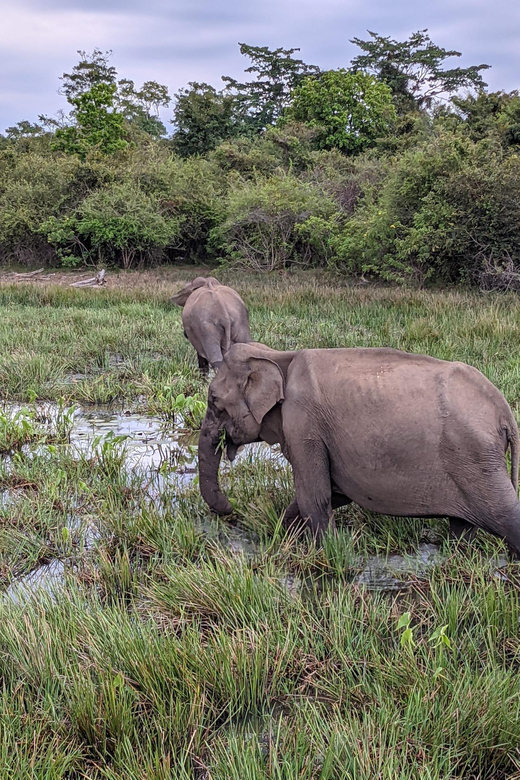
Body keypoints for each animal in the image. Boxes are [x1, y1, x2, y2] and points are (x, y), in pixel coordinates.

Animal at [197, 344, 520, 552]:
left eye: (214, 401)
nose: (231, 510)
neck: (275, 356)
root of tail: (504, 411)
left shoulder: (304, 425)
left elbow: (315, 496)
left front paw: (326, 554)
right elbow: (334, 491)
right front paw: (284, 536)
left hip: (476, 457)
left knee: (505, 513)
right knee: (463, 525)